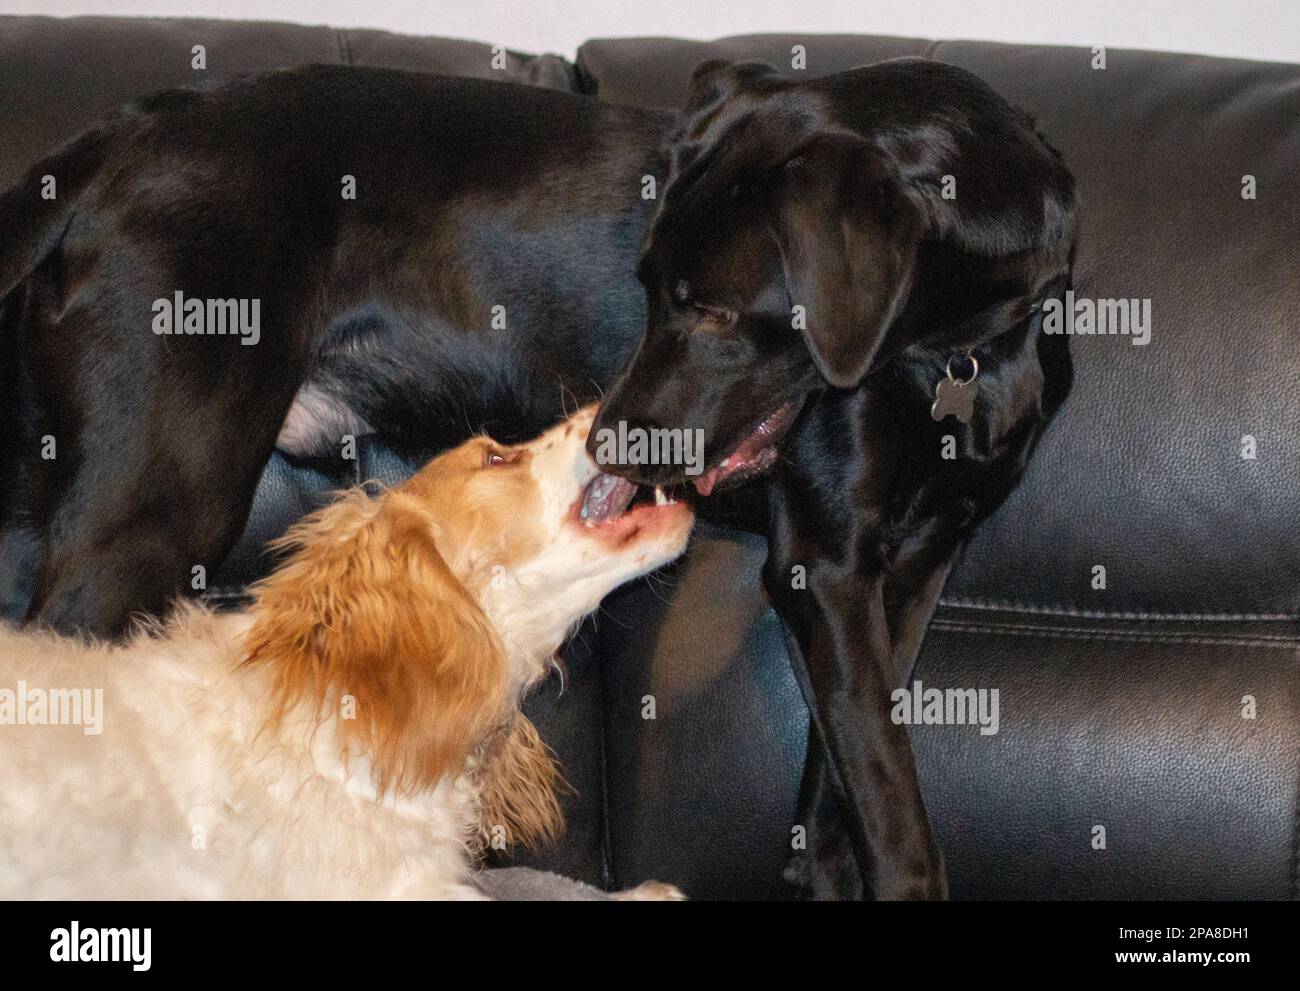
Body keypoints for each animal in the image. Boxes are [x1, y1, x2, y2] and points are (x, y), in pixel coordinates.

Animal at [0, 57, 1076, 899]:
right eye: (652, 289)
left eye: (716, 312)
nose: (608, 442)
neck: (965, 347)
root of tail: (138, 124)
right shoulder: (826, 563)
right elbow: (892, 799)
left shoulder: (912, 564)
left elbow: (848, 761)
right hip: (153, 508)